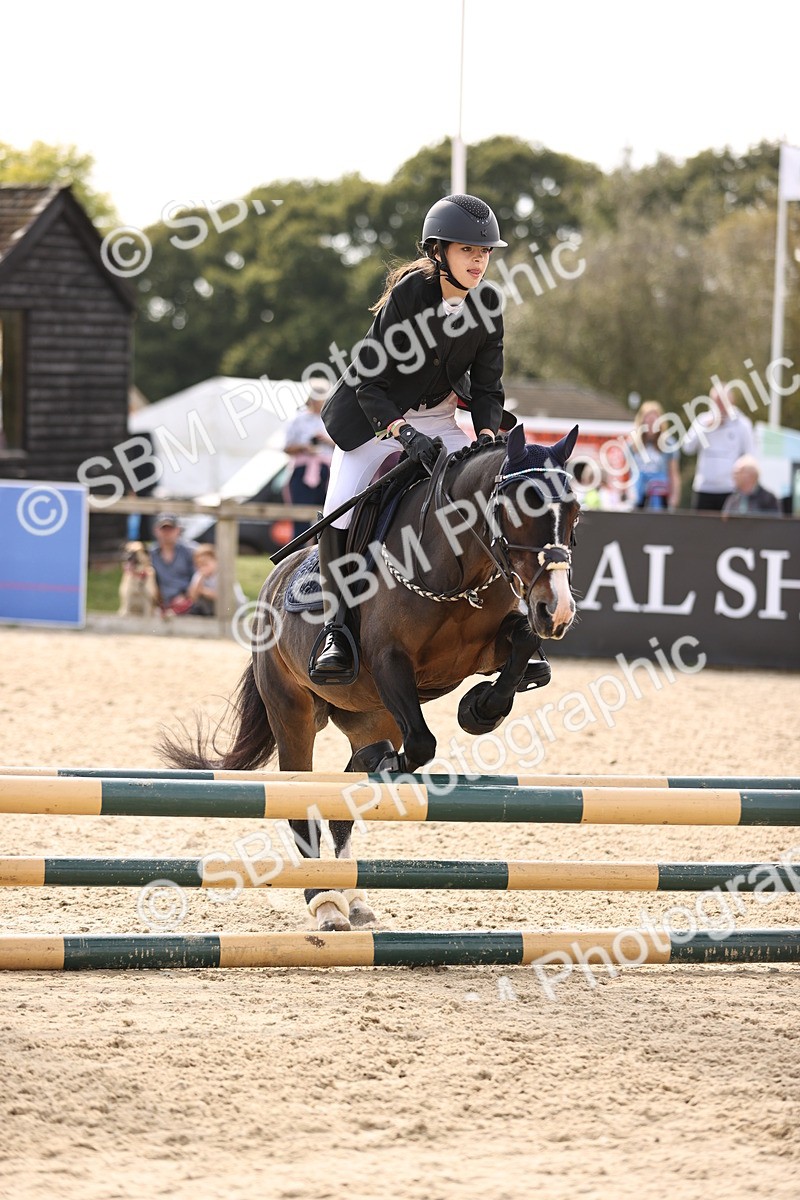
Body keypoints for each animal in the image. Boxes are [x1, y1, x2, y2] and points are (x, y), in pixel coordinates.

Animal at [160, 423, 581, 931]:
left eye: (575, 512)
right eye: (518, 509)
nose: (557, 611)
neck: (458, 567)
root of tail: (271, 586)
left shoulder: (484, 650)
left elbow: (520, 645)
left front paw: (480, 709)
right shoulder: (389, 660)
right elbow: (422, 743)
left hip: (371, 714)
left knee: (345, 795)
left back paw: (354, 894)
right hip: (292, 712)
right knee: (301, 804)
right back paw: (325, 902)